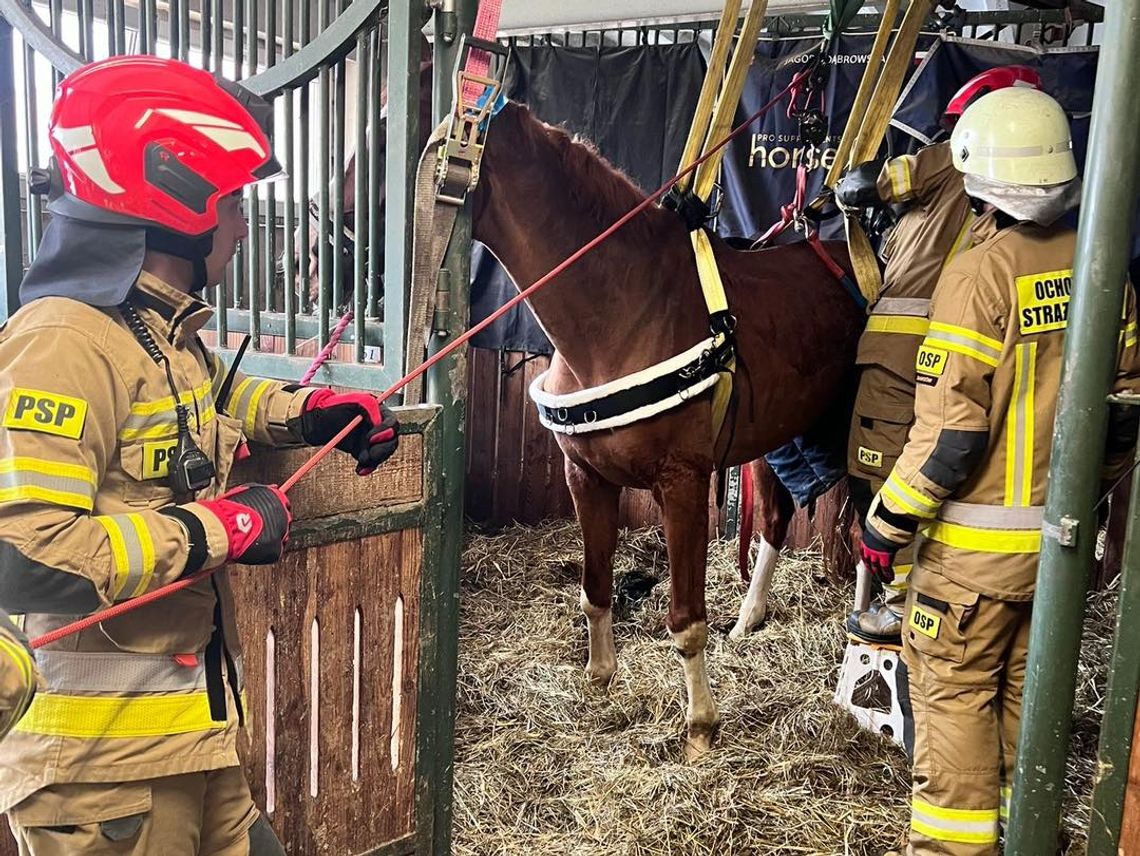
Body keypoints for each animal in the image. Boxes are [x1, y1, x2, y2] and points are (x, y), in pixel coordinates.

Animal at [471, 102, 861, 756]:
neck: (625, 309)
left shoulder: (682, 484)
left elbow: (684, 619)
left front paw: (700, 725)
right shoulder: (586, 478)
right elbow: (595, 589)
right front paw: (599, 680)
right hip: (778, 438)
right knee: (778, 520)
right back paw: (749, 619)